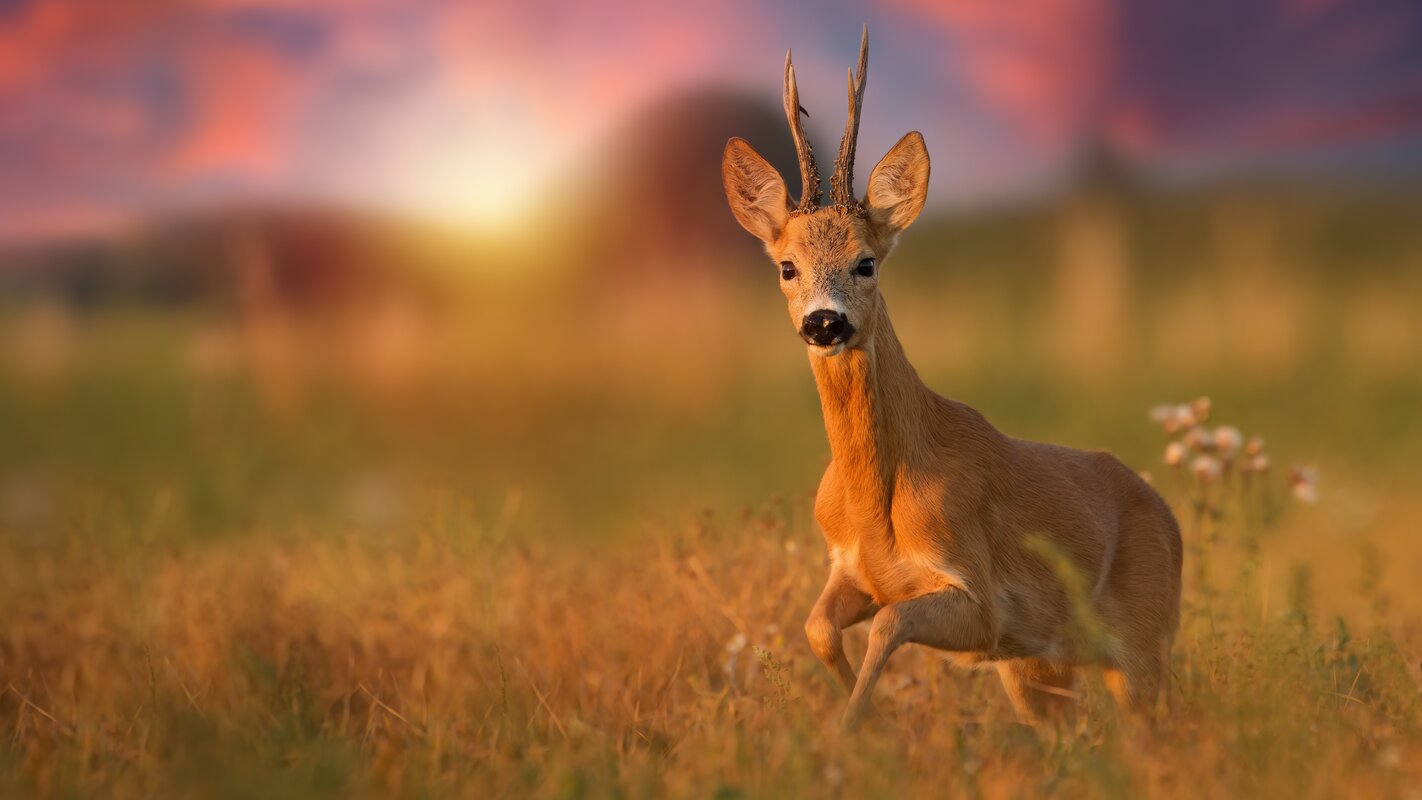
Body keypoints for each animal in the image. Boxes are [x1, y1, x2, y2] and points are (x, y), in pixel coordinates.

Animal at [722, 29, 1177, 733]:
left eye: (866, 262)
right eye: (786, 266)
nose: (825, 323)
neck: (875, 507)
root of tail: (1171, 521)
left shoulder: (979, 600)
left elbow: (888, 623)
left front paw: (855, 728)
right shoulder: (852, 571)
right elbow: (818, 627)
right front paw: (867, 722)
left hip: (1142, 645)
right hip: (1044, 668)